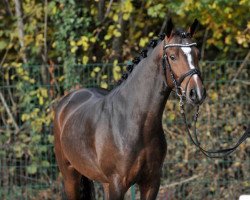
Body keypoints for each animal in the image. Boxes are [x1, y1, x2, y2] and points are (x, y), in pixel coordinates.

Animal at [52, 19, 205, 200]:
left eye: (197, 54)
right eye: (173, 56)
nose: (197, 93)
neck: (135, 122)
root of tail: (67, 101)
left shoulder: (151, 183)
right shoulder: (117, 184)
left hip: (103, 182)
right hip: (71, 177)